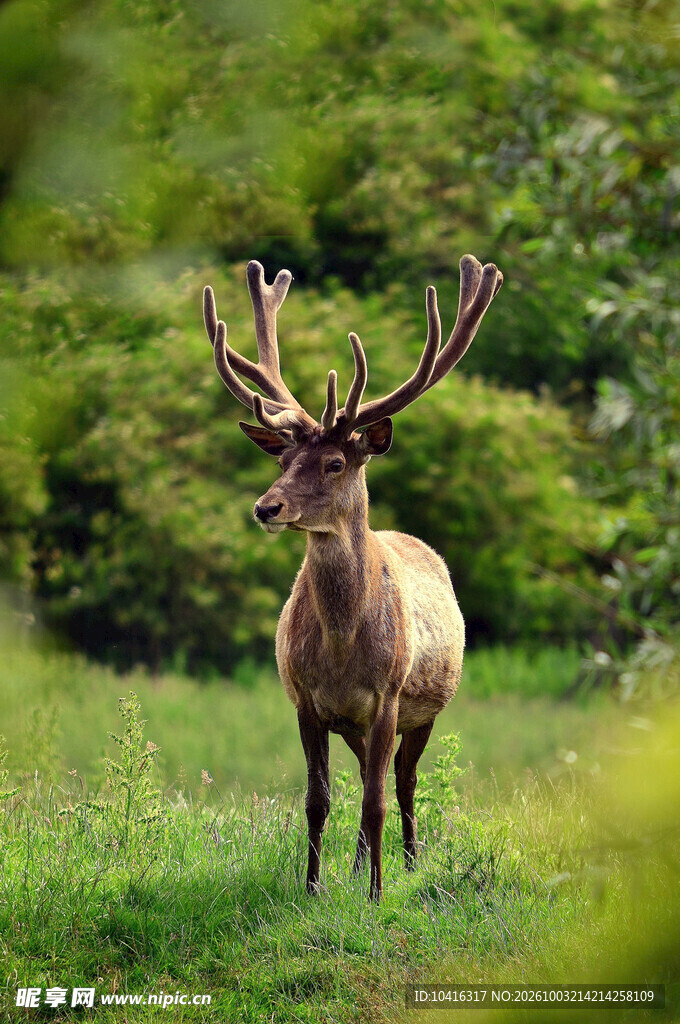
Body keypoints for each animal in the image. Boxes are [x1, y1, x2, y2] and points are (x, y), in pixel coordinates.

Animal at [203, 254, 503, 900]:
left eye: (335, 462)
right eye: (283, 458)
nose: (266, 507)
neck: (342, 648)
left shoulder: (388, 695)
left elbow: (376, 800)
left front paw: (376, 895)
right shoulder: (306, 700)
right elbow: (318, 800)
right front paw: (314, 887)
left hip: (425, 707)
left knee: (401, 782)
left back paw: (407, 864)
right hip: (355, 723)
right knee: (371, 774)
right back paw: (361, 863)